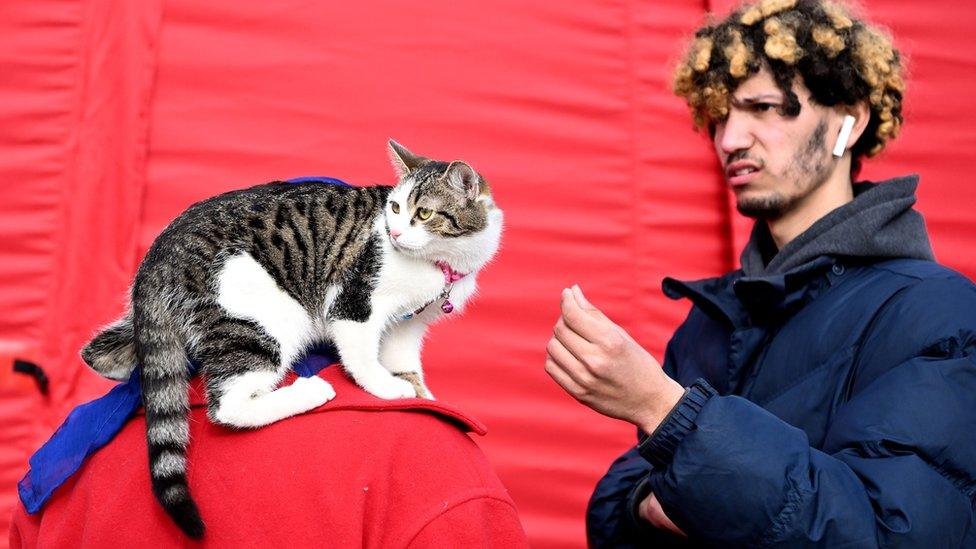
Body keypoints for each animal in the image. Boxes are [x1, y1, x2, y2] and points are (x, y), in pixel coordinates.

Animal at [79, 139, 504, 536]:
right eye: (396, 209)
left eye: (423, 213)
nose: (394, 231)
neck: (442, 263)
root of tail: (158, 254)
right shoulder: (353, 303)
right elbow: (363, 357)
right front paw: (387, 388)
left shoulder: (409, 323)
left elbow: (404, 358)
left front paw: (420, 391)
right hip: (267, 316)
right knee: (228, 406)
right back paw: (308, 391)